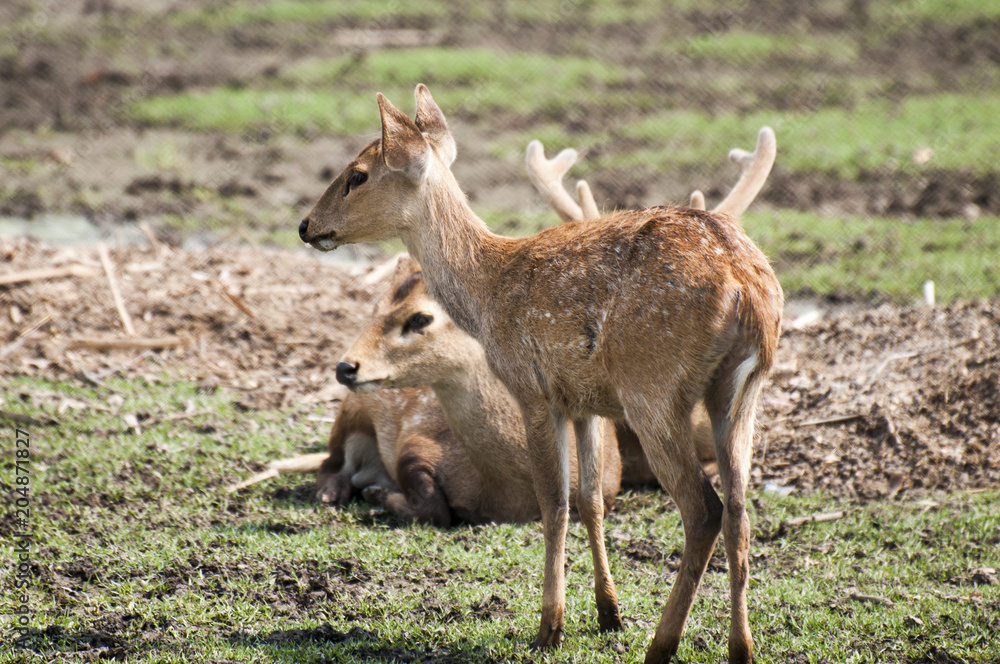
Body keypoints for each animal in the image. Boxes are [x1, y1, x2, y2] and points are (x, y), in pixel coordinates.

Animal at [300, 84, 784, 664]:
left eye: (358, 174)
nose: (306, 225)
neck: (487, 293)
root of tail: (747, 290)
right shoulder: (587, 401)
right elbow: (591, 499)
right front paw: (608, 614)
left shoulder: (533, 389)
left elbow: (553, 503)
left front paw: (549, 628)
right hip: (740, 390)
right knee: (739, 510)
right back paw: (741, 648)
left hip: (654, 388)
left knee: (704, 510)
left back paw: (661, 645)